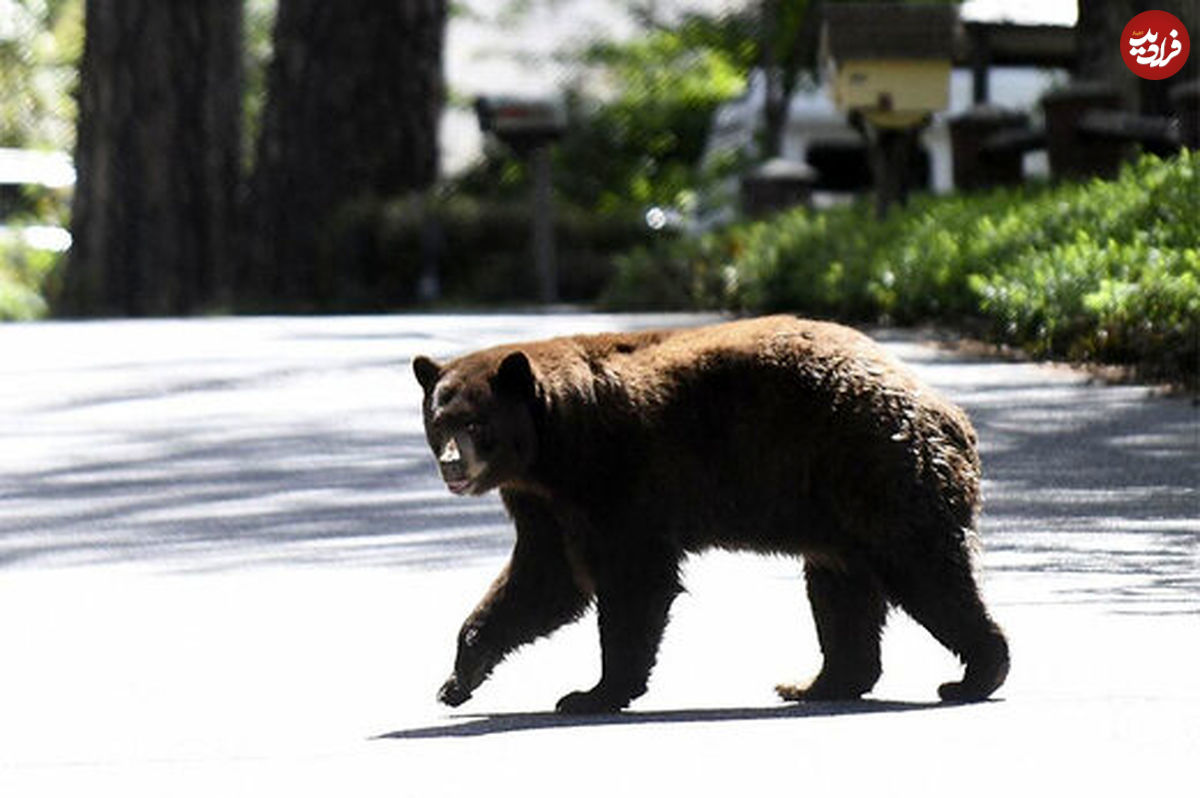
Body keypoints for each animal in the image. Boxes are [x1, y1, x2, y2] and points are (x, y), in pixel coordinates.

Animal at [408, 314, 1008, 710]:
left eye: (478, 424)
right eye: (439, 421)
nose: (453, 465)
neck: (553, 449)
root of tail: (950, 413)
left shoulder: (617, 475)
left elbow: (633, 579)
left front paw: (593, 692)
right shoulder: (543, 504)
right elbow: (542, 581)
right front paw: (459, 677)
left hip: (875, 468)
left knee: (925, 572)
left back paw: (976, 673)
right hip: (836, 505)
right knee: (842, 590)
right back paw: (819, 682)